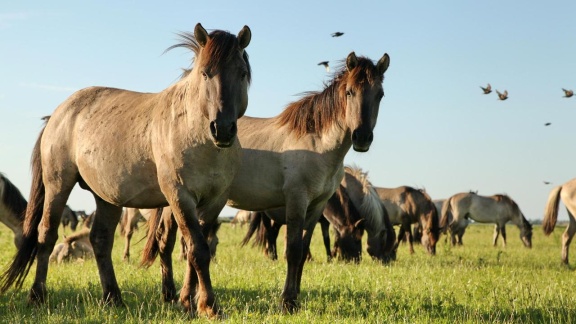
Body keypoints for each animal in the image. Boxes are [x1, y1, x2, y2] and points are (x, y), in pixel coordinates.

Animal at [0, 23, 252, 318]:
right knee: (47, 235)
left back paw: (112, 297)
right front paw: (209, 306)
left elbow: (195, 249)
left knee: (100, 239)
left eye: (242, 73)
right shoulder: (180, 197)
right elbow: (197, 249)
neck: (196, 136)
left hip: (106, 197)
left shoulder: (214, 202)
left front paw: (191, 302)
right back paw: (37, 296)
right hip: (58, 185)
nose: (222, 129)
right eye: (205, 73)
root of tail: (58, 114)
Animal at [141, 52, 390, 312]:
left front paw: (295, 298)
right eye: (350, 92)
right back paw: (171, 295)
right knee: (167, 242)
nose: (362, 137)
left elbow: (303, 251)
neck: (317, 144)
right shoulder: (297, 201)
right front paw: (287, 302)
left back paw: (185, 296)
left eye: (380, 94)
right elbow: (292, 250)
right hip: (178, 201)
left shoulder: (317, 207)